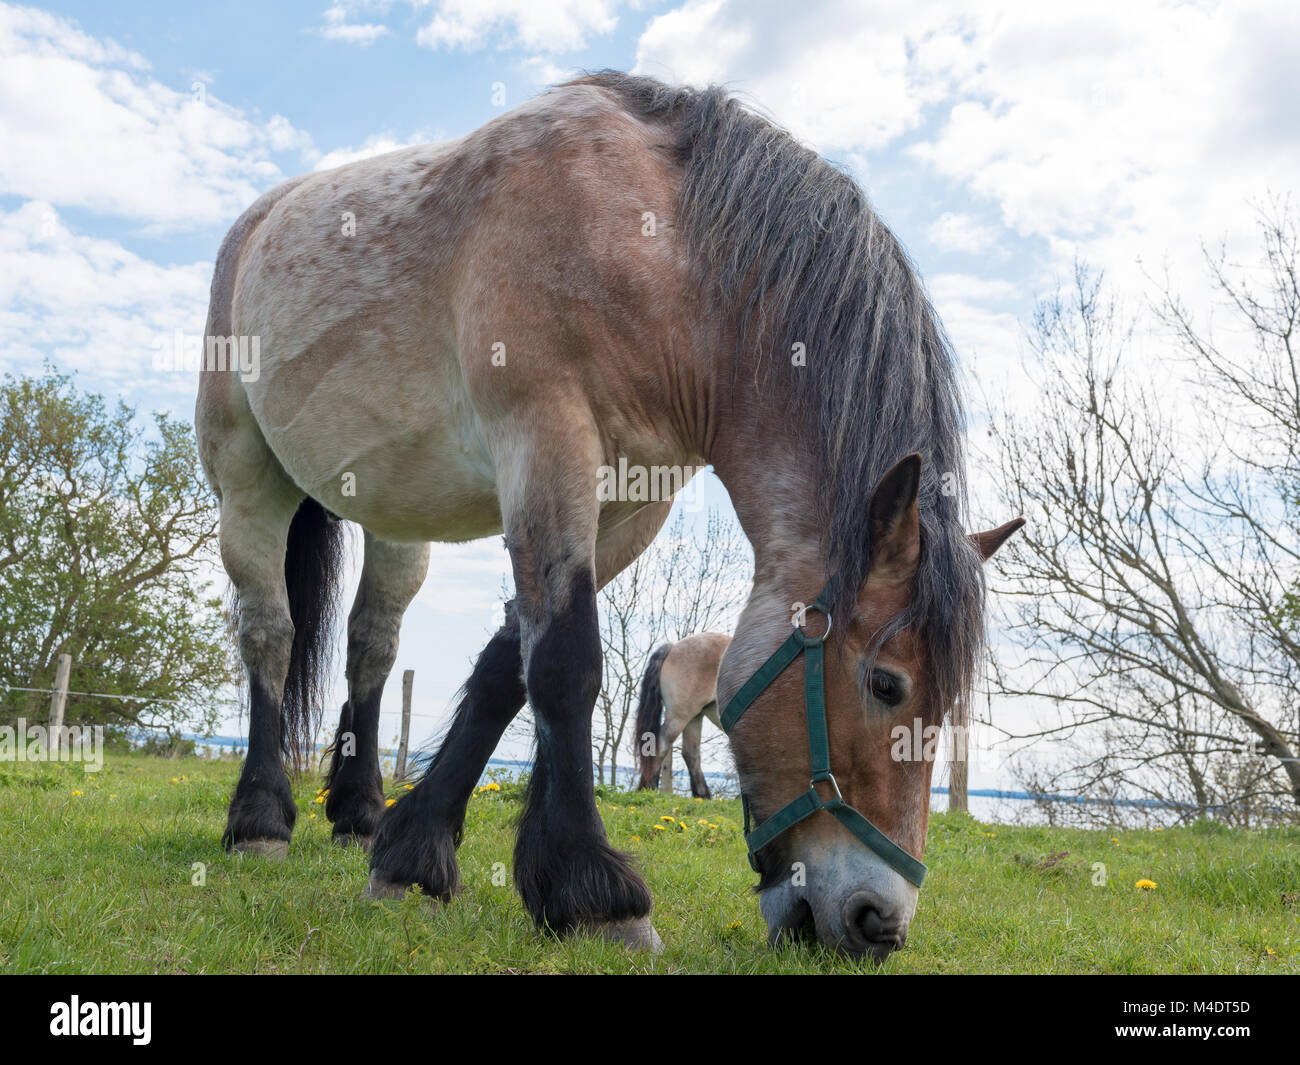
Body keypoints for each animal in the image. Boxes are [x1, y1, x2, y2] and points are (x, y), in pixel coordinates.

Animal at [633, 632, 730, 798]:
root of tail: (673, 647)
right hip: (680, 716)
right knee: (660, 746)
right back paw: (649, 787)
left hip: (694, 717)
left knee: (691, 753)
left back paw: (702, 795)